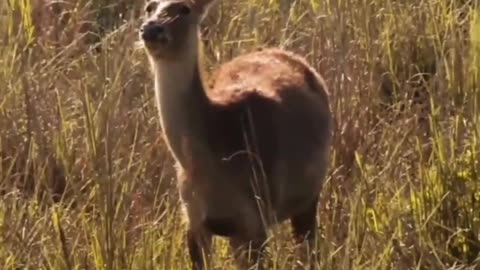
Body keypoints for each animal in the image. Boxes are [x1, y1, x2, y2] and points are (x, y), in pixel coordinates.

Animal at [140, 0, 330, 268]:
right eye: (149, 7)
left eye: (185, 9)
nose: (151, 29)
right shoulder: (193, 219)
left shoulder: (255, 215)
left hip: (309, 193)